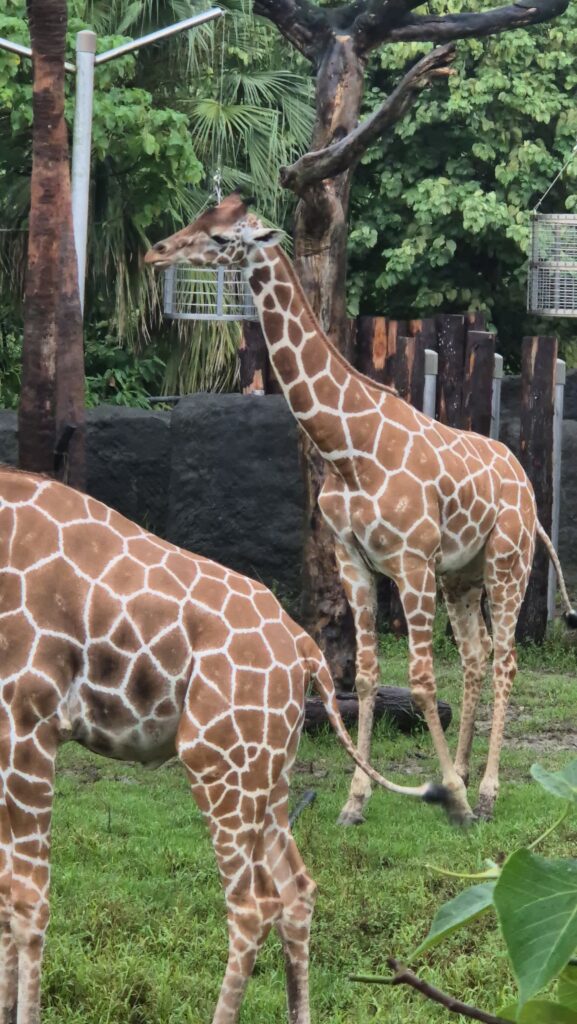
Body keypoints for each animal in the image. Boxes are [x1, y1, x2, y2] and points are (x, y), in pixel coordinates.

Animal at [0, 465, 447, 1024]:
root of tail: (304, 650)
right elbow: (6, 897)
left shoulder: (28, 718)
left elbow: (27, 901)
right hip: (267, 767)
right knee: (297, 890)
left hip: (216, 757)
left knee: (252, 906)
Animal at [145, 191, 577, 828]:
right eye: (200, 217)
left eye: (223, 237)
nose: (156, 252)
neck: (347, 448)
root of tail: (526, 486)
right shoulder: (354, 561)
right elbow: (370, 678)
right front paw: (357, 800)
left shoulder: (411, 561)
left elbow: (420, 678)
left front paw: (452, 796)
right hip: (462, 576)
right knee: (475, 657)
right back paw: (466, 769)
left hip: (508, 563)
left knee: (505, 661)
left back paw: (487, 791)